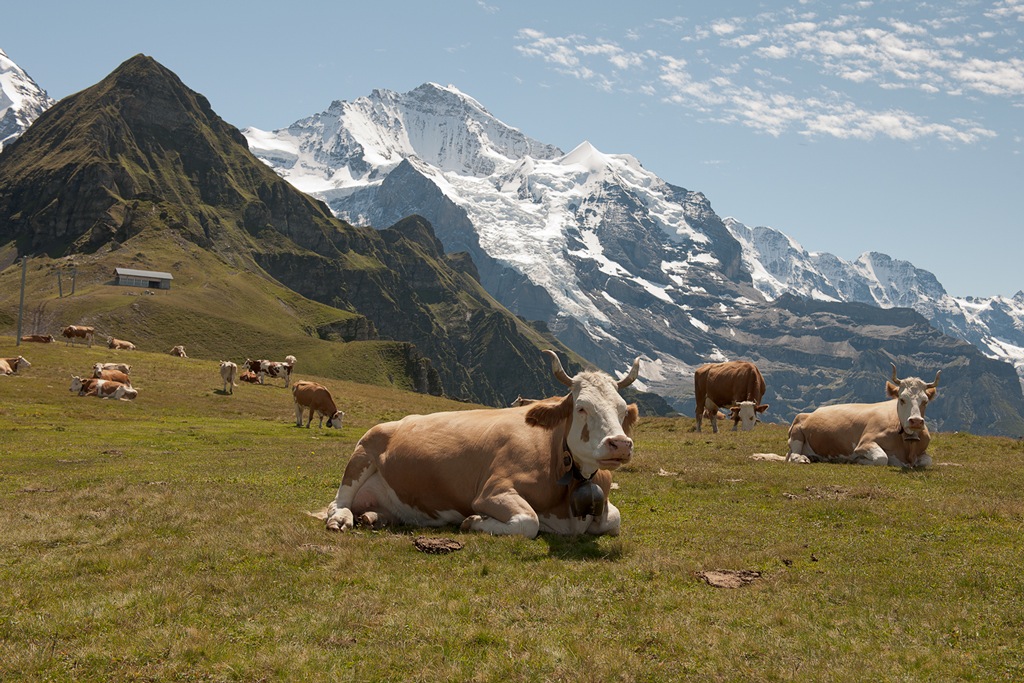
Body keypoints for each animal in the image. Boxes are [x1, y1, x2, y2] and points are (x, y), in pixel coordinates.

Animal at [323, 352, 634, 540]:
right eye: (582, 407)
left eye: (621, 409)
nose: (619, 444)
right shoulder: (493, 491)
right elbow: (529, 522)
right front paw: (473, 521)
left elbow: (615, 521)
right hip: (362, 452)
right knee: (338, 501)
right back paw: (342, 519)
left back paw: (373, 517)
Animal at [786, 366, 937, 466]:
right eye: (902, 399)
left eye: (925, 401)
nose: (916, 421)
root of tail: (810, 413)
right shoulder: (865, 443)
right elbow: (882, 458)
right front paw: (858, 460)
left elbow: (928, 461)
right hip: (796, 434)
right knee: (793, 454)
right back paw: (802, 459)